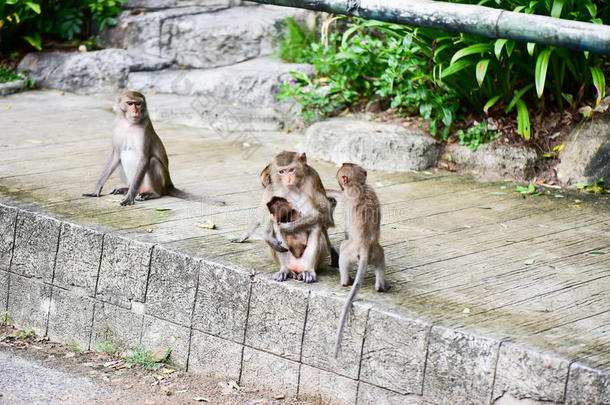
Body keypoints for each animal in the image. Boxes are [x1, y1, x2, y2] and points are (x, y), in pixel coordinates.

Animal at [81, 90, 223, 207]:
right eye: (130, 103)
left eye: (138, 104)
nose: (135, 111)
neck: (128, 124)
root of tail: (168, 185)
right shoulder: (116, 127)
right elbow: (115, 155)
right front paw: (96, 190)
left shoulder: (145, 129)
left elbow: (144, 158)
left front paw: (129, 197)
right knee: (121, 159)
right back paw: (127, 189)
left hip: (160, 184)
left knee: (153, 162)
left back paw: (151, 193)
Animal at [332, 163, 384, 358]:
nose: (340, 185)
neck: (359, 184)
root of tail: (365, 246)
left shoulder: (346, 197)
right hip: (376, 251)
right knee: (381, 259)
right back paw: (380, 285)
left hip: (350, 251)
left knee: (343, 250)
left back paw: (344, 280)